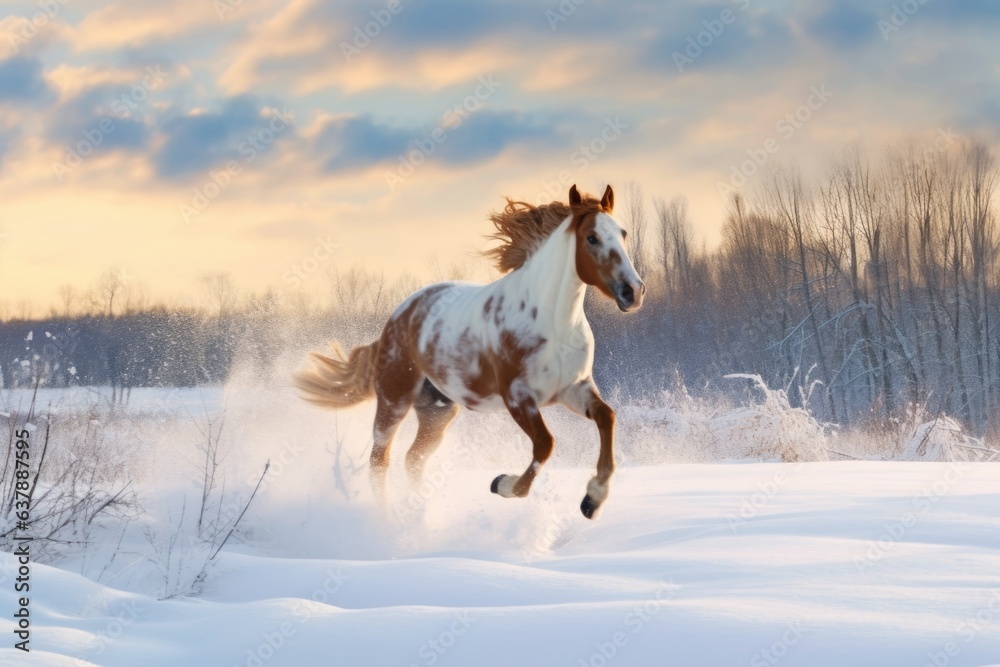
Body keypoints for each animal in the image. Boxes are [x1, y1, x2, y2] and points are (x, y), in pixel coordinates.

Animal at [294, 184, 644, 519]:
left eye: (623, 233)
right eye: (592, 237)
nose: (633, 291)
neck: (553, 324)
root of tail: (398, 317)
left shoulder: (574, 389)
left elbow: (607, 417)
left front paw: (592, 500)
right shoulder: (518, 397)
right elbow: (545, 445)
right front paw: (501, 483)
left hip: (438, 412)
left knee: (413, 460)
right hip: (394, 400)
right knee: (380, 461)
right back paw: (389, 520)